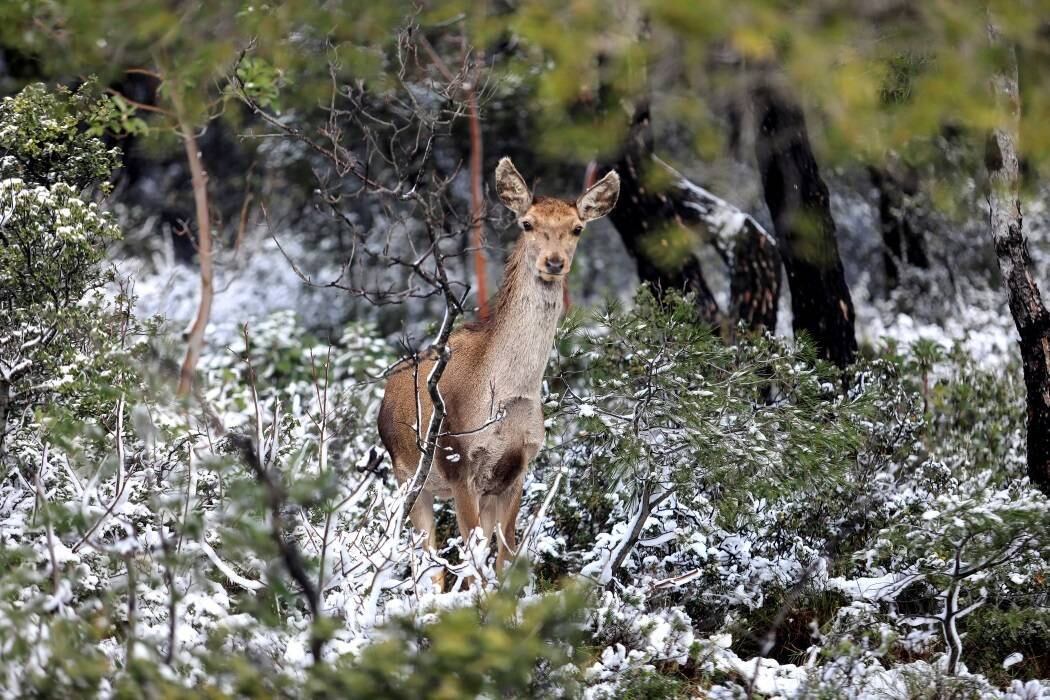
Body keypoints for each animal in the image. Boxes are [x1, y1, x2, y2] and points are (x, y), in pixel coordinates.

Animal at [378, 157, 620, 589]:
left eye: (577, 227)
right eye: (527, 223)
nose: (554, 262)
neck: (508, 394)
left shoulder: (517, 468)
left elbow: (505, 554)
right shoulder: (459, 462)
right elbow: (472, 560)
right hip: (408, 474)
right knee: (429, 563)